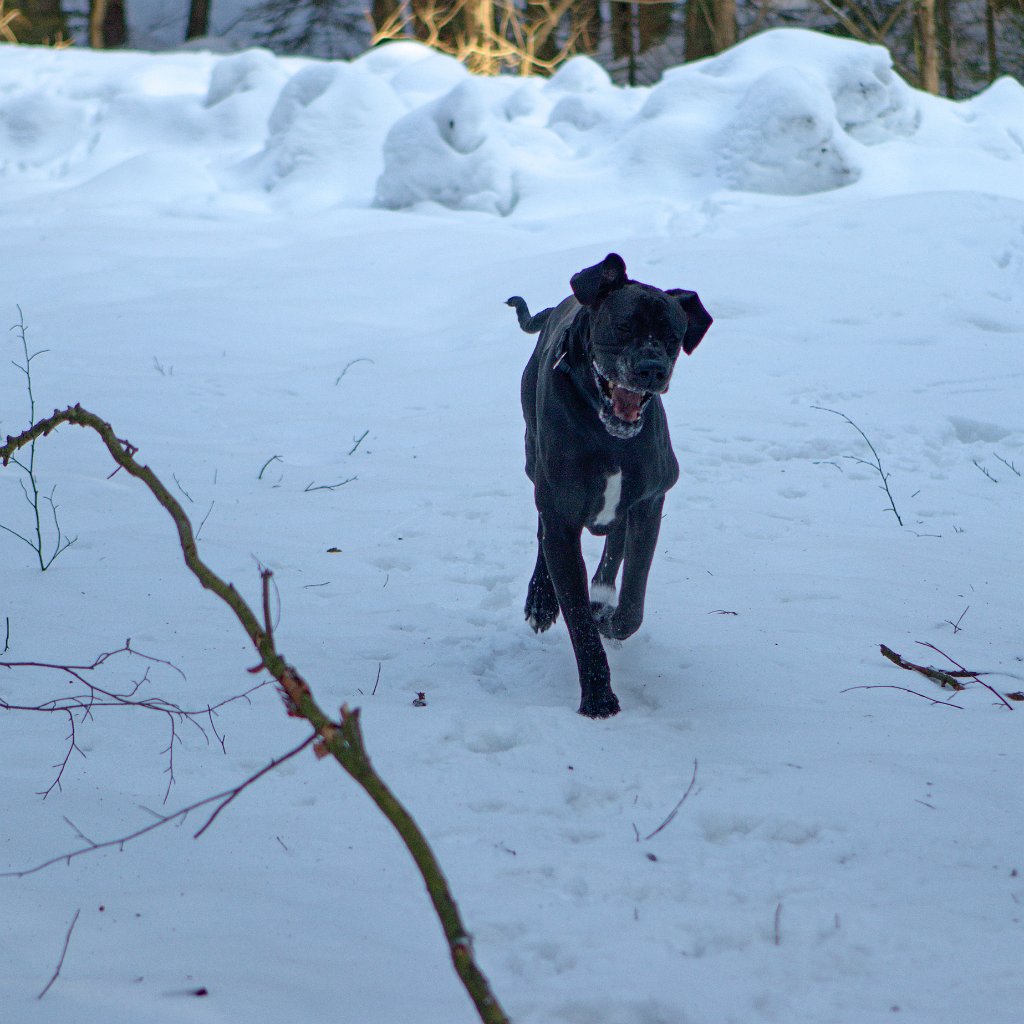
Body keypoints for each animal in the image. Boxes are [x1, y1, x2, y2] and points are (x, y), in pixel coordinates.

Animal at [505, 251, 712, 716]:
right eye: (623, 327)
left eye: (673, 335)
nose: (652, 369)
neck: (608, 434)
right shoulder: (562, 516)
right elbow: (578, 619)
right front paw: (598, 698)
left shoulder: (649, 501)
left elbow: (633, 596)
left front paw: (610, 618)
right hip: (534, 463)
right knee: (543, 529)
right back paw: (541, 600)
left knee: (613, 543)